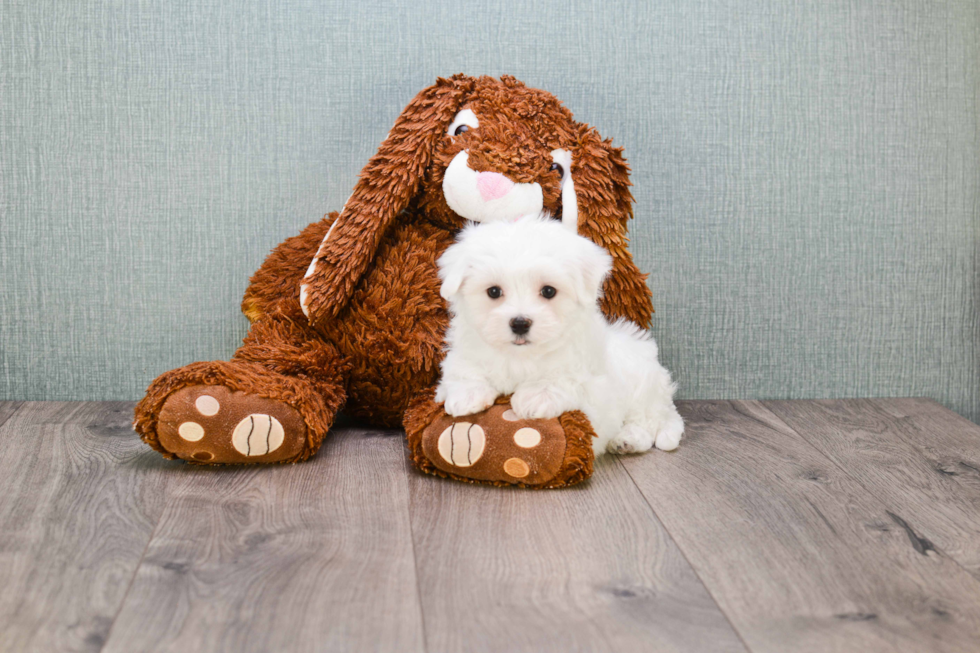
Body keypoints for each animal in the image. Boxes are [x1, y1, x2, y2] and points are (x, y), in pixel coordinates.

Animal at [436, 214, 680, 454]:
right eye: (494, 291)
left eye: (548, 291)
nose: (520, 323)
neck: (520, 356)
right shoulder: (467, 348)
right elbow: (462, 368)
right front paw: (467, 394)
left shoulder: (591, 382)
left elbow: (566, 377)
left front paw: (536, 395)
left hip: (643, 387)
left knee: (646, 420)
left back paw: (628, 439)